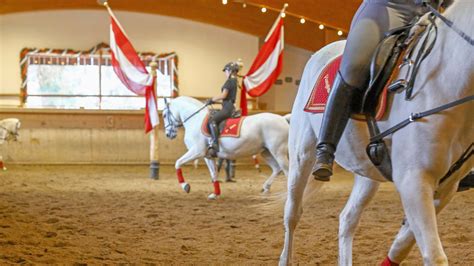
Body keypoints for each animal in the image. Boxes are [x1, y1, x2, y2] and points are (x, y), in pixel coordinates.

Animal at [280, 1, 472, 264]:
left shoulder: (444, 188)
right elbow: (434, 256)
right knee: (292, 214)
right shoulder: (414, 179)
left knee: (347, 219)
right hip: (302, 155)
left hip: (367, 172)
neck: (446, 79)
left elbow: (402, 245)